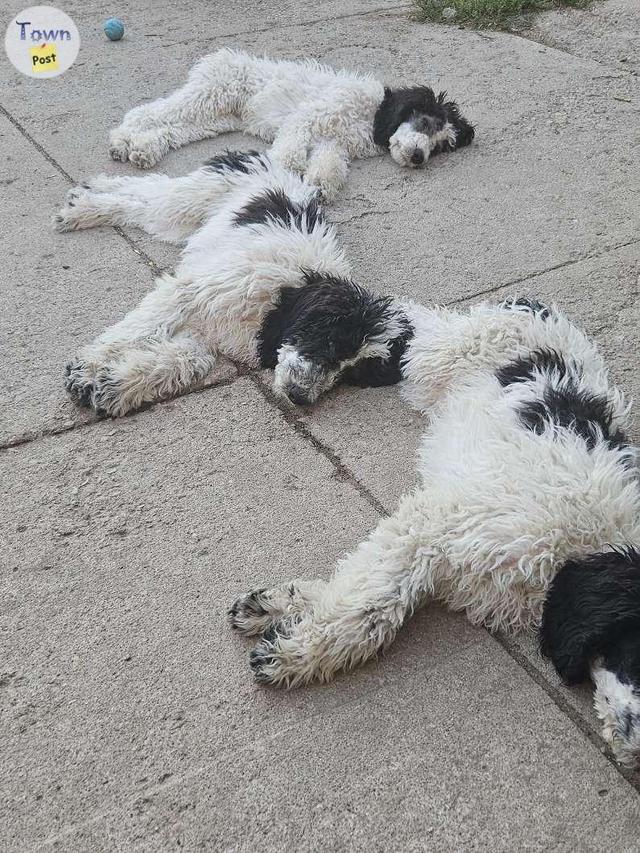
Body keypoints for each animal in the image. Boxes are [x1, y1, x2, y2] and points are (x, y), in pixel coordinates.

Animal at [55, 153, 412, 420]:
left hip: (176, 219)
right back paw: (83, 206)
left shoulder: (203, 335)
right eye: (332, 343)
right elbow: (137, 329)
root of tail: (267, 160)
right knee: (145, 193)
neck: (281, 303)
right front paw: (93, 362)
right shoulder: (189, 293)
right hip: (188, 201)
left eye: (350, 375)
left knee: (142, 198)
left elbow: (179, 361)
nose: (300, 397)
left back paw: (87, 193)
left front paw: (109, 385)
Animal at [107, 47, 472, 198]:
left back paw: (142, 149)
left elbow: (328, 167)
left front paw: (320, 187)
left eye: (441, 147)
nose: (419, 157)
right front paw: (281, 171)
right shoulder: (309, 117)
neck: (372, 117)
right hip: (209, 95)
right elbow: (289, 152)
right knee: (148, 113)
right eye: (425, 123)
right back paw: (122, 139)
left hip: (213, 120)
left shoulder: (331, 143)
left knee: (171, 130)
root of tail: (219, 59)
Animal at [229, 298, 640, 764]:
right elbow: (371, 606)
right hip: (434, 354)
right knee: (395, 320)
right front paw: (296, 653)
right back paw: (306, 371)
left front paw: (285, 605)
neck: (586, 548)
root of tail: (527, 304)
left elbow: (360, 584)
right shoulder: (434, 525)